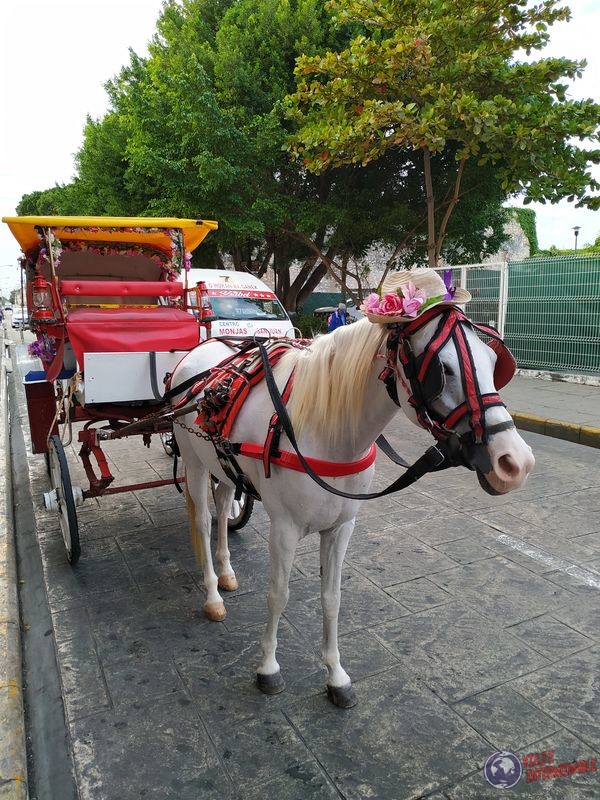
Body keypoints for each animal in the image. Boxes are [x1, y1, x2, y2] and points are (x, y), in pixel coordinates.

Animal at [170, 312, 536, 708]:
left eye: (494, 361)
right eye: (444, 369)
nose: (515, 462)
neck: (323, 429)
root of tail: (202, 348)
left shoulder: (342, 526)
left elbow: (332, 598)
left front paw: (336, 675)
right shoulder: (283, 529)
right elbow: (278, 596)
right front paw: (268, 668)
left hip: (222, 465)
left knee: (224, 507)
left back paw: (226, 571)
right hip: (194, 461)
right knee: (204, 522)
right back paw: (213, 594)